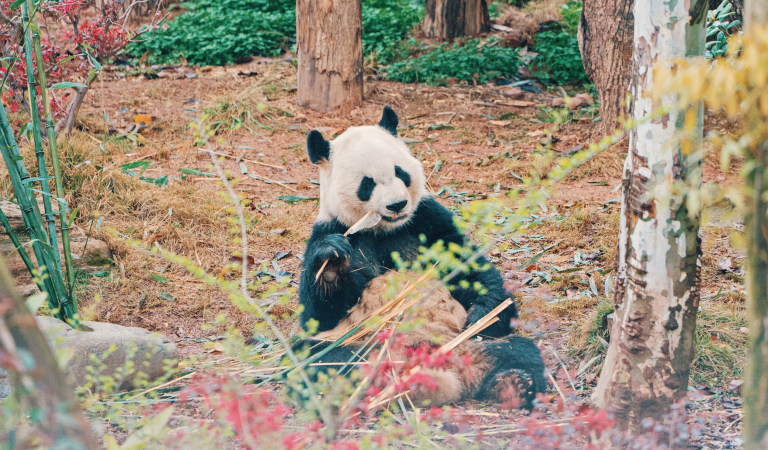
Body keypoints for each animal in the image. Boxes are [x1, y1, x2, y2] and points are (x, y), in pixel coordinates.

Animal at [296, 106, 546, 407]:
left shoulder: (428, 220)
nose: (397, 204)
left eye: (400, 172)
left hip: (466, 344)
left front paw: (482, 314)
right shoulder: (333, 227)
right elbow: (319, 315)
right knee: (318, 359)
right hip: (355, 344)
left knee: (520, 351)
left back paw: (514, 384)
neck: (383, 230)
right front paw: (331, 263)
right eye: (367, 183)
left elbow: (470, 269)